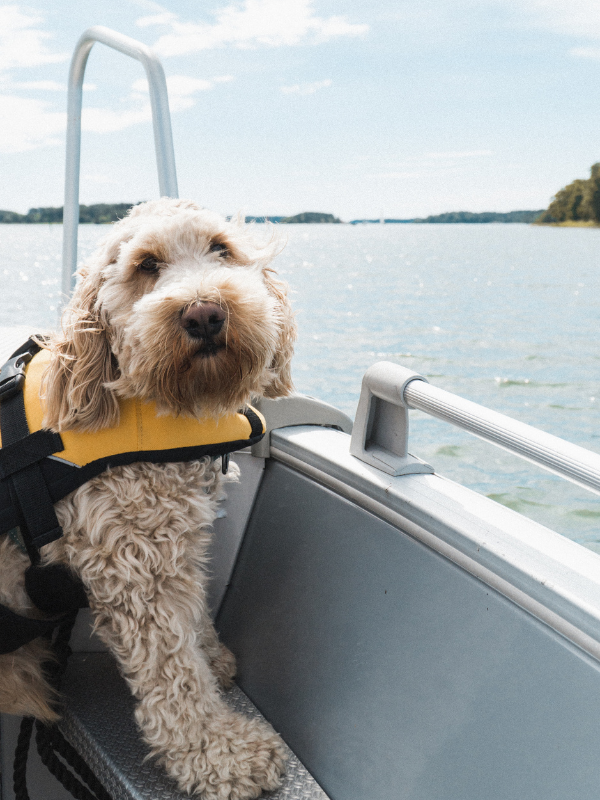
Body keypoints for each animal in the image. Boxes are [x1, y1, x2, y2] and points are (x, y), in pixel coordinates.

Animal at [0, 198, 296, 800]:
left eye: (221, 249)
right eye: (146, 265)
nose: (204, 314)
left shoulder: (176, 539)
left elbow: (194, 614)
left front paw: (211, 654)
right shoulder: (132, 566)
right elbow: (173, 673)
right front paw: (221, 754)